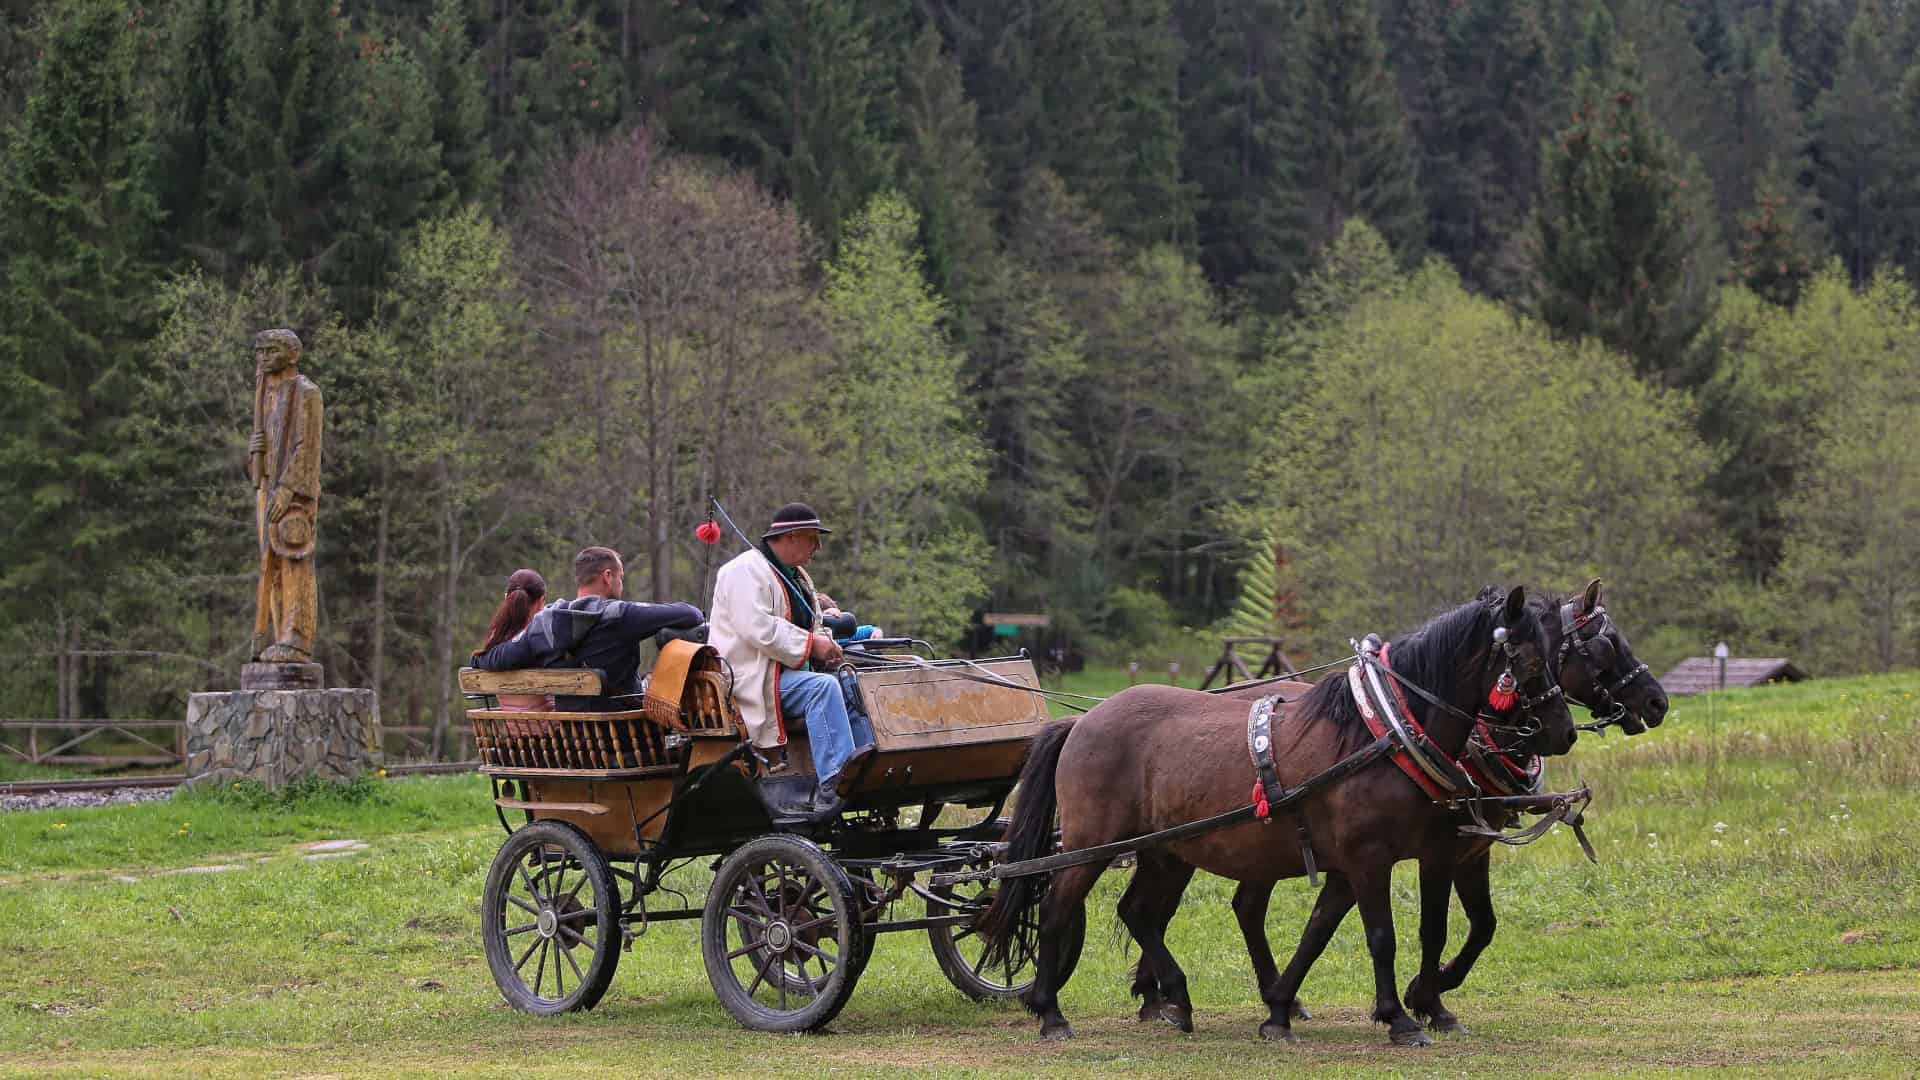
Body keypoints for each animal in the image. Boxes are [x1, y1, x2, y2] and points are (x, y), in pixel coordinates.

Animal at [975, 584, 1574, 1037]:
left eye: (1559, 654)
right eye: (1527, 658)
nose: (1564, 732)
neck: (1382, 732)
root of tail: (1083, 721)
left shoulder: (1366, 863)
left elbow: (1320, 932)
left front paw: (1282, 1009)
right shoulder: (1372, 858)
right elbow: (1383, 937)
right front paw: (1402, 1019)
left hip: (1164, 851)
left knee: (1139, 913)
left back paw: (1175, 999)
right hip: (1090, 845)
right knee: (1057, 910)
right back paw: (1051, 1012)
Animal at [1121, 580, 1666, 1037]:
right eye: (1605, 645)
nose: (1658, 702)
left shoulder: (1467, 850)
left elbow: (1474, 925)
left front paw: (1430, 995)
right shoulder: (1436, 849)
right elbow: (1434, 927)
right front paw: (1422, 996)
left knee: (1208, 908)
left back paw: (1175, 996)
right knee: (1202, 909)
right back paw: (1173, 996)